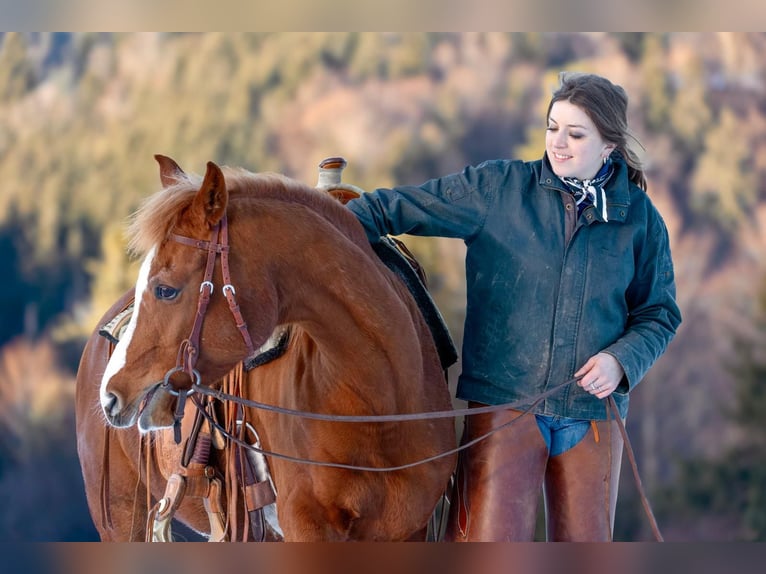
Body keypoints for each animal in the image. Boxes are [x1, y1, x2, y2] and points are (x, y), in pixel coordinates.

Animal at [75, 155, 457, 541]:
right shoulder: (306, 525)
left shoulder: (408, 529)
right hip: (123, 516)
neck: (378, 407)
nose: (111, 394)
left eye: (165, 290)